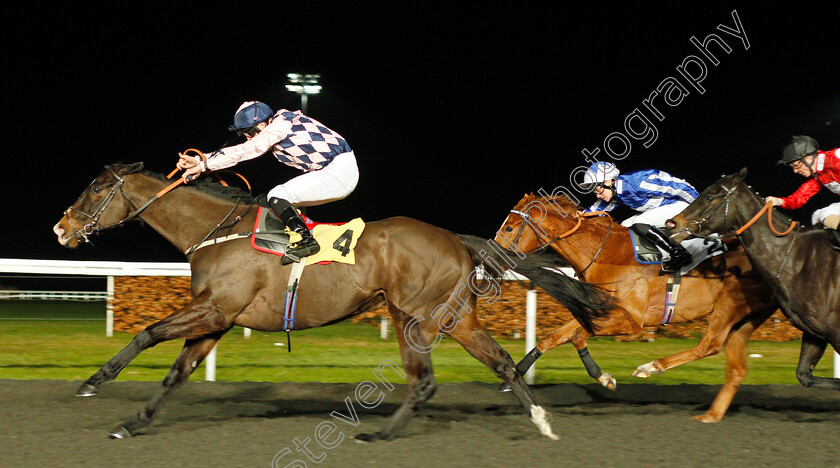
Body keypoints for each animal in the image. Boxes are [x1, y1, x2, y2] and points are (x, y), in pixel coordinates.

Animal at [54, 163, 616, 440]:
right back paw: (540, 422)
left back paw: (381, 435)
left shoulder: (217, 309)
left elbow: (147, 332)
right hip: (441, 317)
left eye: (96, 189)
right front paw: (133, 422)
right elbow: (176, 372)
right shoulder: (218, 317)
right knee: (492, 365)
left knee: (433, 378)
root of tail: (457, 239)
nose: (62, 228)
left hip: (420, 317)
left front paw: (92, 382)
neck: (216, 230)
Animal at [496, 192, 776, 422]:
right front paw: (512, 377)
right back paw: (713, 414)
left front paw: (605, 378)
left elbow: (576, 336)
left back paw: (651, 368)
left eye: (509, 227)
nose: (493, 256)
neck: (606, 253)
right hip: (748, 316)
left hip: (729, 305)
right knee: (736, 367)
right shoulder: (602, 309)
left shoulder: (632, 321)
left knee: (710, 345)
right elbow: (553, 337)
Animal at [668, 168, 840, 392]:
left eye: (710, 196)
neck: (798, 259)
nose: (672, 223)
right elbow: (805, 376)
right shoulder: (814, 331)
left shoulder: (835, 332)